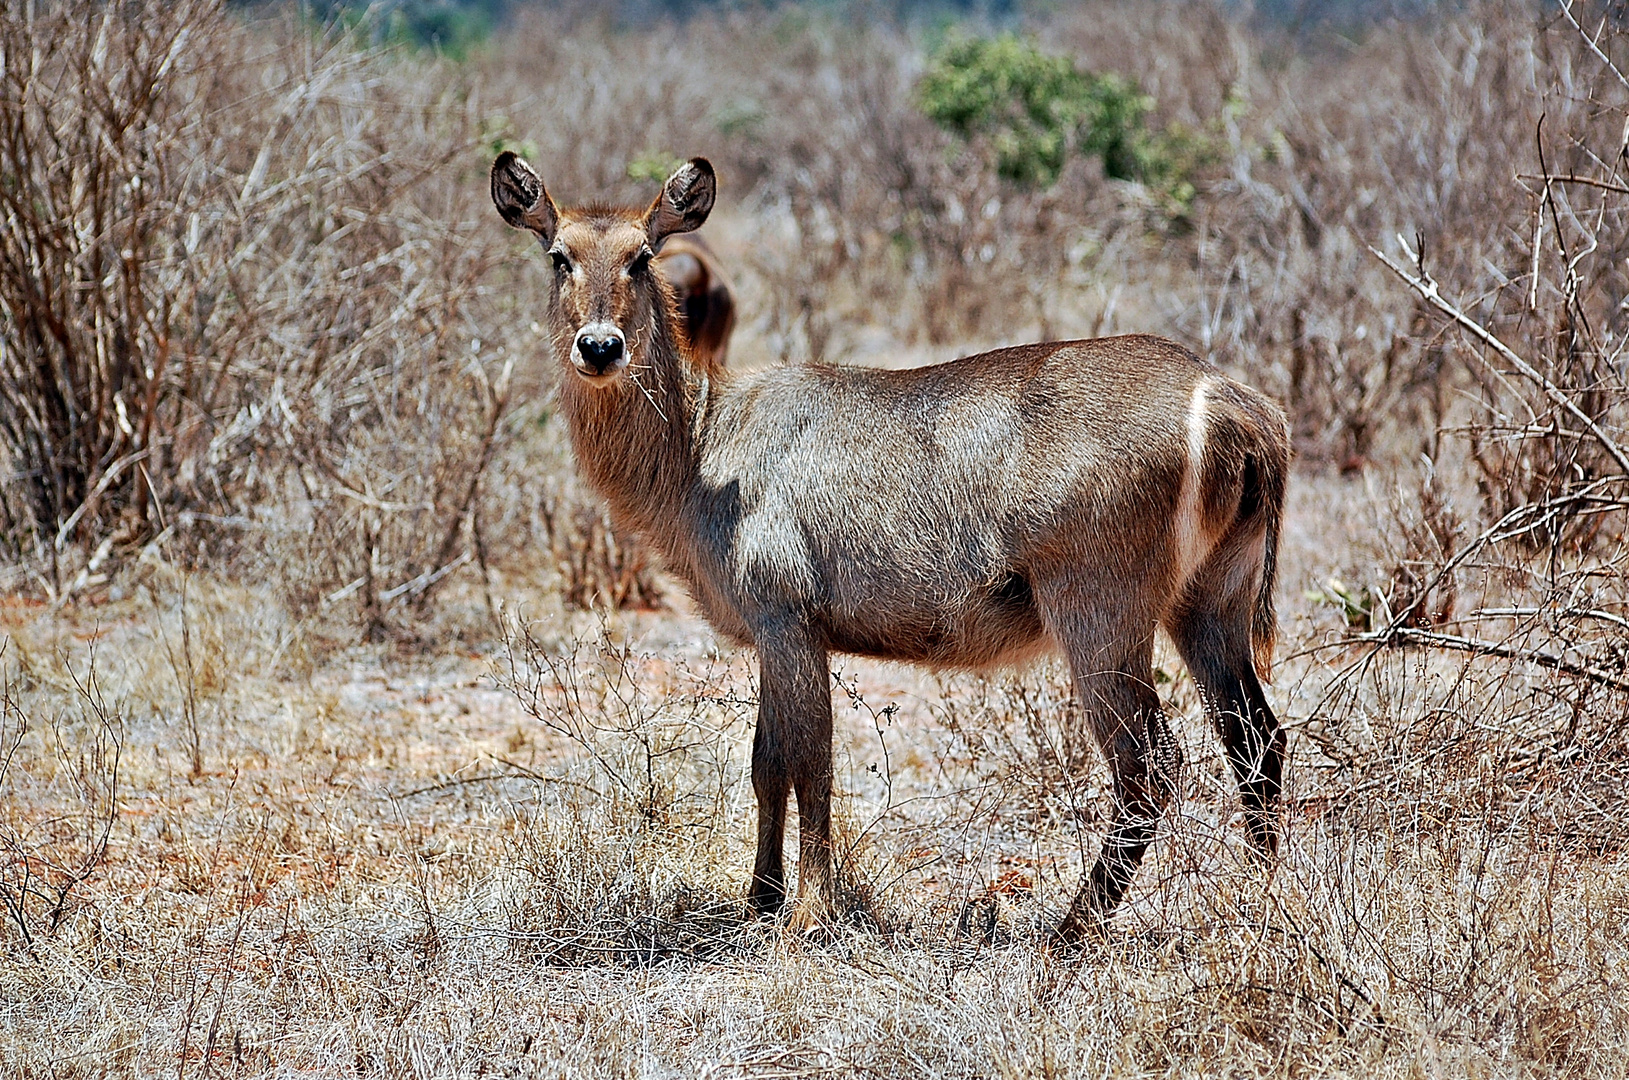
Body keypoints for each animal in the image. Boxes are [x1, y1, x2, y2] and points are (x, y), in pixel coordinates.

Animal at [488, 149, 1290, 938]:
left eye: (641, 256)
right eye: (559, 255)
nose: (599, 347)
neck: (704, 446)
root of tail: (1226, 399)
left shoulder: (788, 620)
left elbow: (809, 766)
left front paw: (808, 914)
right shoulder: (775, 632)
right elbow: (766, 764)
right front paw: (760, 902)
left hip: (1100, 610)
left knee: (1150, 763)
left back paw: (1071, 930)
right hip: (1208, 601)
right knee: (1256, 737)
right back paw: (1263, 901)